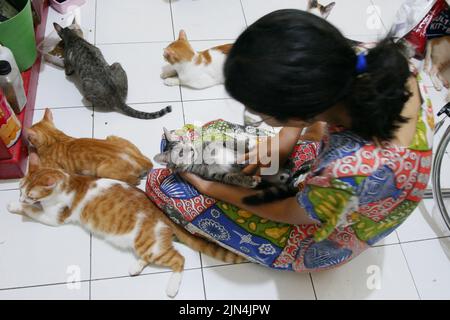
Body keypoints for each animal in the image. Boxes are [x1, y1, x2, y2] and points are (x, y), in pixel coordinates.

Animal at [6, 154, 246, 298]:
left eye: (29, 194)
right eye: (19, 189)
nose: (21, 197)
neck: (66, 182)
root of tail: (161, 212)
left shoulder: (53, 218)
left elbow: (31, 211)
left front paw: (14, 206)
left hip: (146, 241)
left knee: (179, 259)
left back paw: (171, 288)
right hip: (148, 243)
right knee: (155, 254)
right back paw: (136, 267)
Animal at [154, 127, 306, 205]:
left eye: (184, 141)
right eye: (180, 153)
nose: (191, 149)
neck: (201, 155)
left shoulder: (220, 143)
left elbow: (234, 143)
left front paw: (249, 144)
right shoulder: (214, 174)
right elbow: (230, 177)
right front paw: (248, 181)